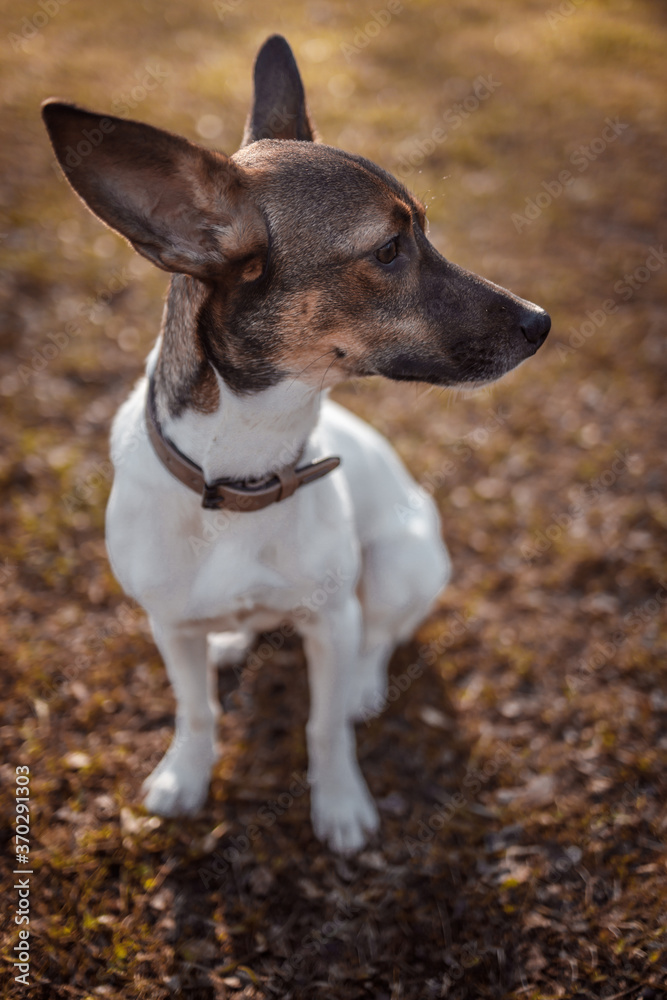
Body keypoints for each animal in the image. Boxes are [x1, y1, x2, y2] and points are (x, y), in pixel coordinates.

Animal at [44, 37, 552, 852]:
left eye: (422, 232)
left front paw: (340, 803)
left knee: (379, 634)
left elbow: (323, 726)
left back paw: (364, 685)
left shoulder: (330, 620)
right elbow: (195, 710)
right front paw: (186, 776)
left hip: (403, 563)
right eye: (389, 249)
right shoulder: (166, 627)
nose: (542, 322)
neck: (242, 475)